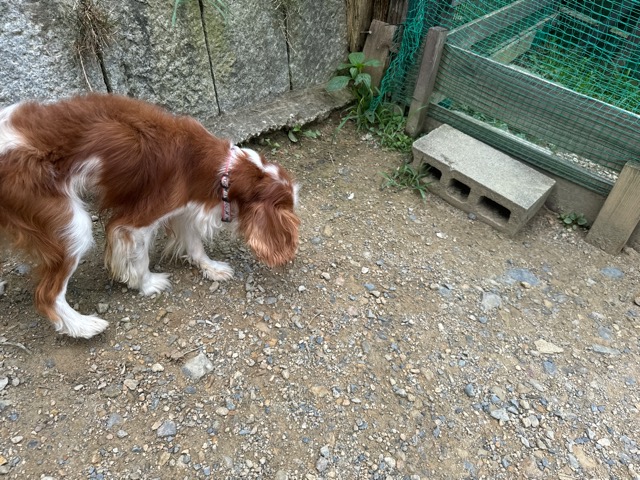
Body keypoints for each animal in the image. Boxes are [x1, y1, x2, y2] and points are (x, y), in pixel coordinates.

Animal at [0, 94, 300, 338]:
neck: (221, 170)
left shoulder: (184, 209)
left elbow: (195, 245)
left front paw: (211, 268)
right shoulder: (134, 223)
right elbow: (139, 258)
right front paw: (147, 284)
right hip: (71, 224)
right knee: (48, 295)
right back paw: (83, 327)